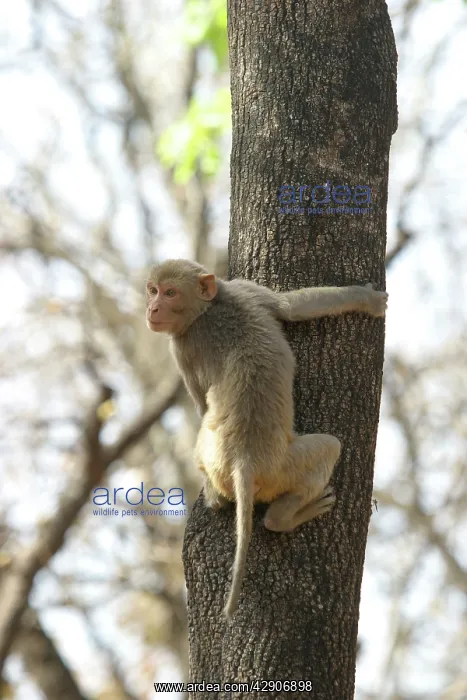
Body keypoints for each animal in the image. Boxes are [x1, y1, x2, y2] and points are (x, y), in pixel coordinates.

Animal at [145, 259, 388, 619]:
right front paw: (366, 299)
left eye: (170, 292)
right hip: (283, 468)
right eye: (153, 290)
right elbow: (292, 308)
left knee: (327, 448)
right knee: (329, 448)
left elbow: (289, 308)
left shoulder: (191, 336)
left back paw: (259, 511)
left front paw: (366, 300)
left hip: (278, 467)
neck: (206, 309)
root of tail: (245, 462)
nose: (152, 307)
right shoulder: (235, 301)